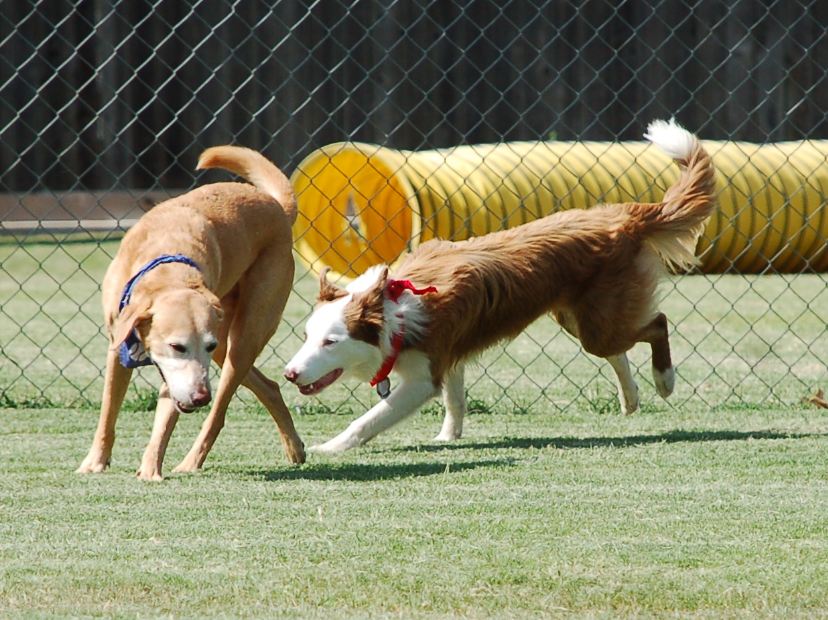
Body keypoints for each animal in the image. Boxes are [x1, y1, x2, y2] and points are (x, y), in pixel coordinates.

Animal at [77, 146, 305, 480]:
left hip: (243, 337)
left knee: (218, 413)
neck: (167, 266)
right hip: (227, 343)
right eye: (177, 346)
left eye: (204, 346)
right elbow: (108, 410)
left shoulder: (184, 374)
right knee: (270, 386)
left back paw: (191, 461)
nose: (200, 397)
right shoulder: (118, 346)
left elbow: (165, 420)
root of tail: (275, 205)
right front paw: (95, 462)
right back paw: (294, 448)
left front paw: (150, 469)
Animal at [283, 119, 716, 454]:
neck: (393, 309)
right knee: (620, 350)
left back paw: (664, 381)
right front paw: (449, 437)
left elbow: (369, 420)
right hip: (580, 319)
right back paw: (631, 398)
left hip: (598, 321)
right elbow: (455, 400)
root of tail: (625, 217)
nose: (288, 373)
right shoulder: (451, 354)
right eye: (306, 336)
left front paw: (329, 447)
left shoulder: (424, 376)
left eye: (331, 342)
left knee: (656, 323)